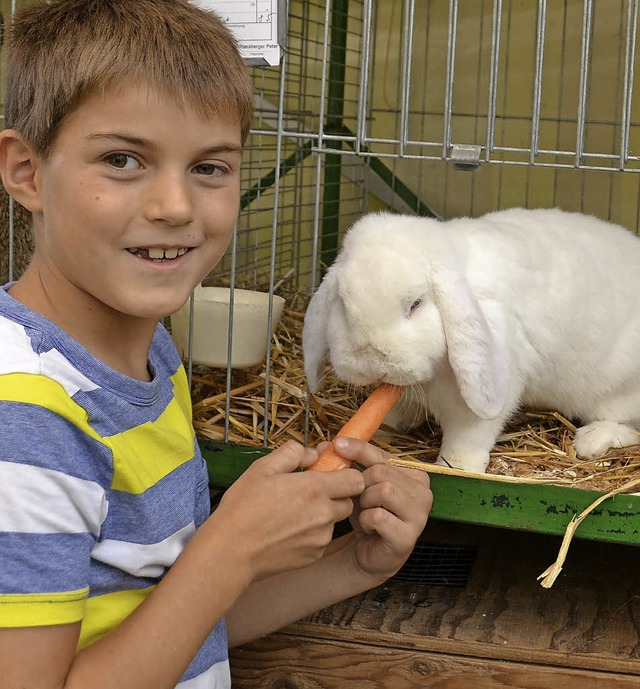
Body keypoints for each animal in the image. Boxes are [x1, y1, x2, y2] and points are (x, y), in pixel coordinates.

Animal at [302, 206, 640, 472]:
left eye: (416, 304)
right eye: (343, 304)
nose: (371, 362)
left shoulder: (484, 392)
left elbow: (470, 434)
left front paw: (456, 466)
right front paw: (386, 428)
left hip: (617, 392)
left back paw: (590, 441)